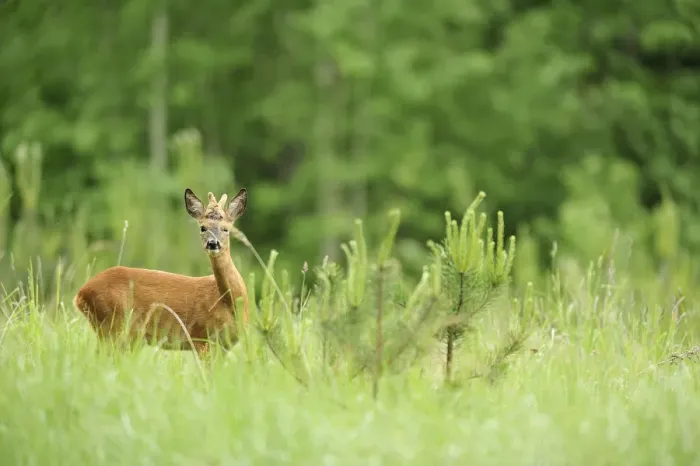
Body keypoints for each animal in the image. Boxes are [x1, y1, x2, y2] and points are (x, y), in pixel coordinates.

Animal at [73, 187, 250, 357]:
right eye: (202, 227)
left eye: (226, 229)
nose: (213, 243)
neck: (228, 302)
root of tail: (80, 294)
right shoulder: (200, 337)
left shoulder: (225, 346)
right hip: (114, 325)